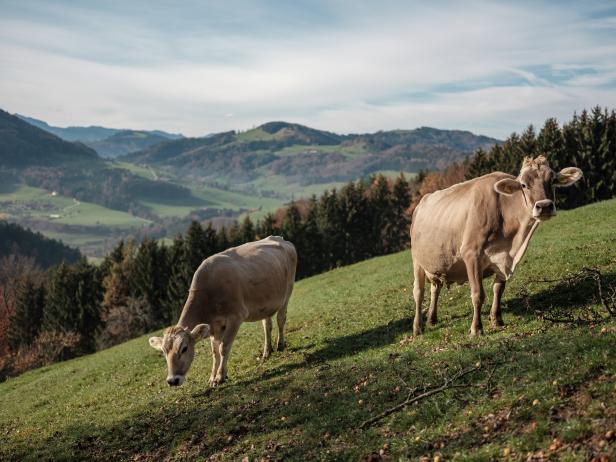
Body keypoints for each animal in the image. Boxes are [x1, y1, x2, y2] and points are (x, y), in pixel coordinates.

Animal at [148, 235, 294, 386]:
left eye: (184, 348)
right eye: (164, 352)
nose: (172, 380)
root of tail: (279, 238)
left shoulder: (236, 317)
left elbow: (223, 348)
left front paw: (220, 376)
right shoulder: (214, 327)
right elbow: (215, 352)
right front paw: (212, 377)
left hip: (287, 292)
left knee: (281, 319)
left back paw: (280, 345)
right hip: (265, 305)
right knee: (267, 325)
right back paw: (267, 352)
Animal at [410, 155, 584, 336]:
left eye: (553, 180)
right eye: (523, 184)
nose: (544, 206)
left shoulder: (505, 258)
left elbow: (498, 289)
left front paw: (496, 319)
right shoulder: (471, 253)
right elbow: (478, 294)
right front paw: (476, 328)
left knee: (435, 287)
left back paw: (432, 318)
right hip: (416, 260)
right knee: (418, 292)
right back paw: (417, 327)